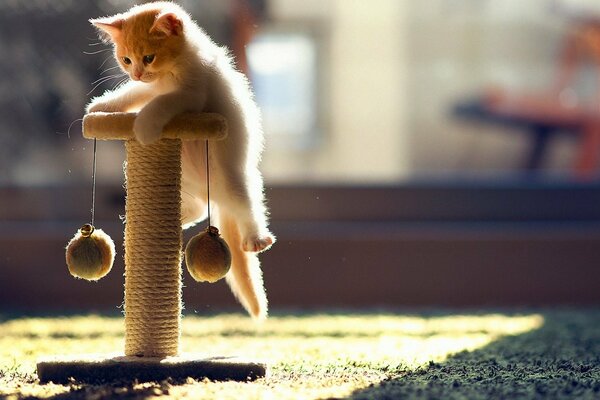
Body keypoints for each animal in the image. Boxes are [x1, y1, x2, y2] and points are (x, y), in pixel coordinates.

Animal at [86, 0, 274, 318]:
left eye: (148, 57)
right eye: (126, 60)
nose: (137, 72)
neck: (170, 70)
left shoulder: (192, 94)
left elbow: (162, 103)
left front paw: (144, 126)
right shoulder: (149, 87)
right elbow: (133, 94)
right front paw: (101, 107)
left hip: (231, 176)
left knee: (247, 206)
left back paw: (256, 237)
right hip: (187, 177)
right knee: (200, 207)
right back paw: (181, 217)